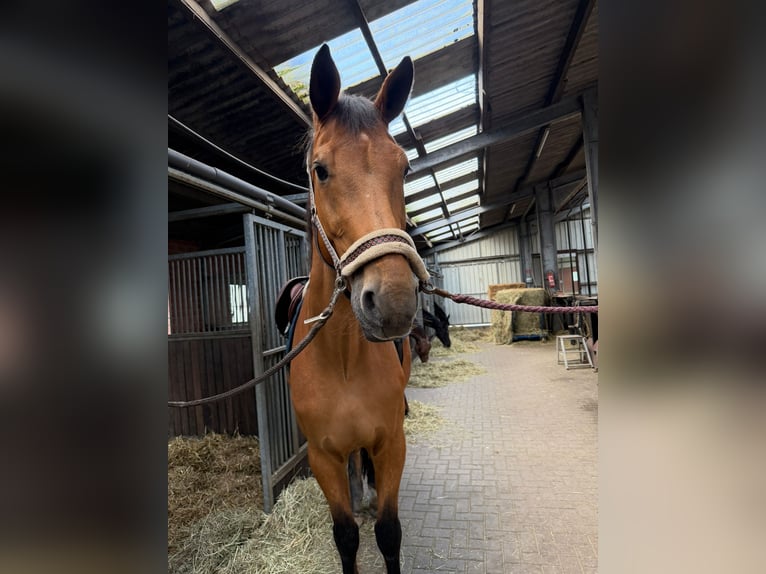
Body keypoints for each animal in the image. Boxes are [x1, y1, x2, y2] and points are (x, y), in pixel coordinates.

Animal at [289, 44, 428, 574]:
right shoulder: (322, 458)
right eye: (320, 169)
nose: (391, 302)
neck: (343, 357)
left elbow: (389, 533)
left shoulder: (391, 443)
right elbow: (345, 536)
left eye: (403, 168)